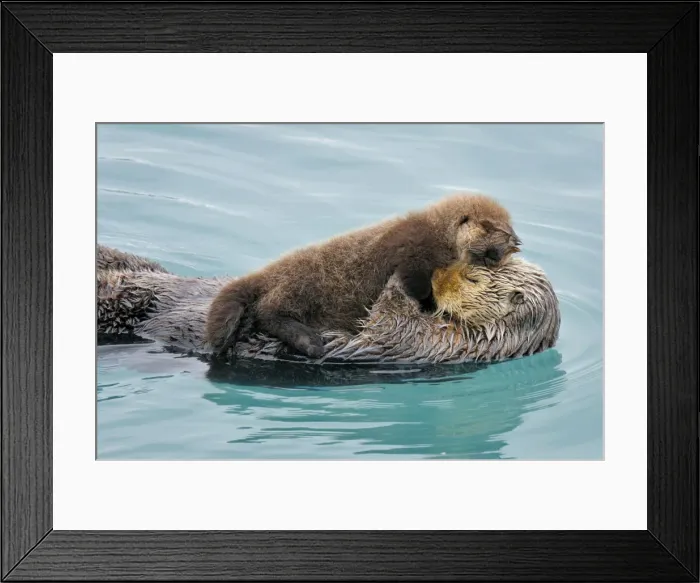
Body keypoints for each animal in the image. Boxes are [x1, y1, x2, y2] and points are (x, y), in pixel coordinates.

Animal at [204, 193, 521, 359]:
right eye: (495, 228)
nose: (515, 241)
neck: (442, 238)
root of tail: (267, 274)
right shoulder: (415, 253)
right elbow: (418, 284)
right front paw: (429, 304)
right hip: (301, 285)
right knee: (268, 312)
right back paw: (310, 342)